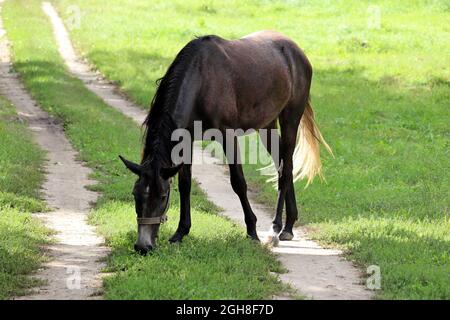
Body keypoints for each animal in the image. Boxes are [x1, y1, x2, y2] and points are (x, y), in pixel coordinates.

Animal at [118, 30, 330, 255]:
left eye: (162, 196)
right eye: (135, 194)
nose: (143, 246)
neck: (201, 79)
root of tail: (296, 51)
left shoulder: (227, 135)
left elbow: (238, 182)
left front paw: (252, 231)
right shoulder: (186, 138)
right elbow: (185, 184)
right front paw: (181, 232)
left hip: (290, 118)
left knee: (285, 170)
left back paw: (275, 229)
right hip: (267, 125)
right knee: (282, 164)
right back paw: (289, 226)